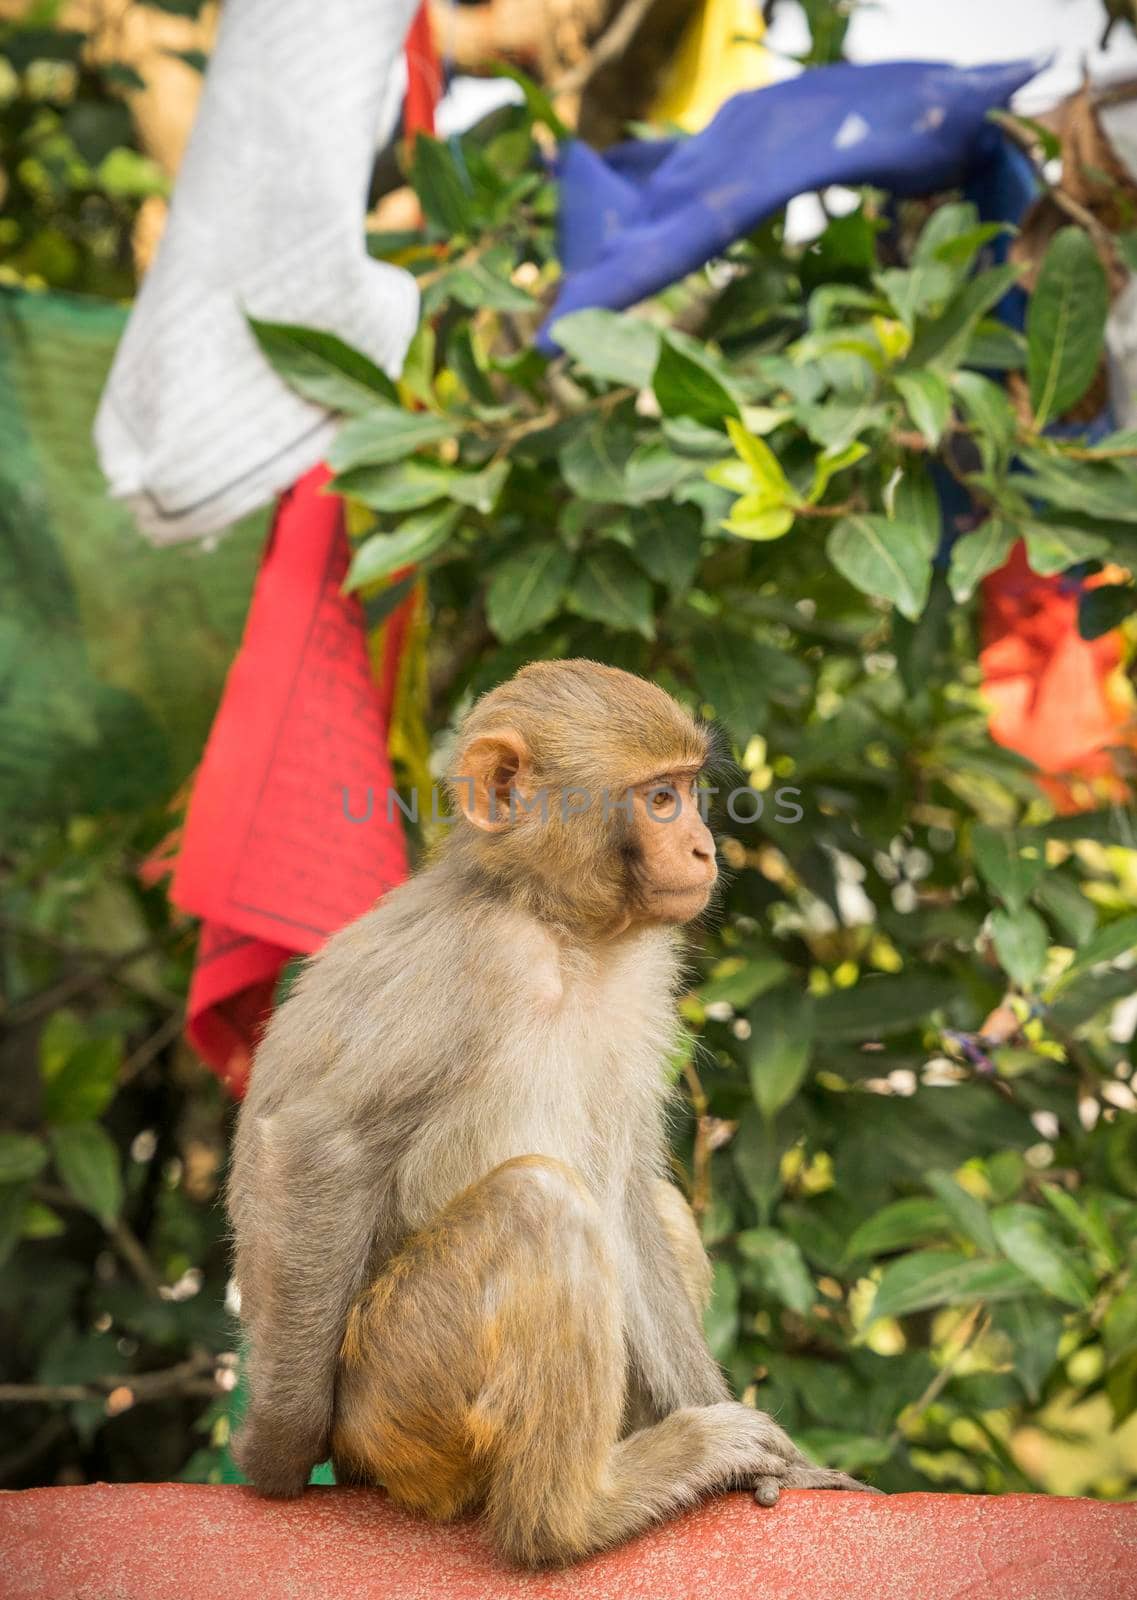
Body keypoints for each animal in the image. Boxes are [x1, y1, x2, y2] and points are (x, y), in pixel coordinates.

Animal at [227, 659, 876, 1561]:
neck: (559, 927)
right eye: (660, 799)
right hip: (397, 1396)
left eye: (687, 790)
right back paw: (571, 1516)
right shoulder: (474, 959)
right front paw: (278, 1450)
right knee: (539, 1205)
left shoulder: (643, 976)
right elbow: (317, 1142)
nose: (704, 847)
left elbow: (628, 1193)